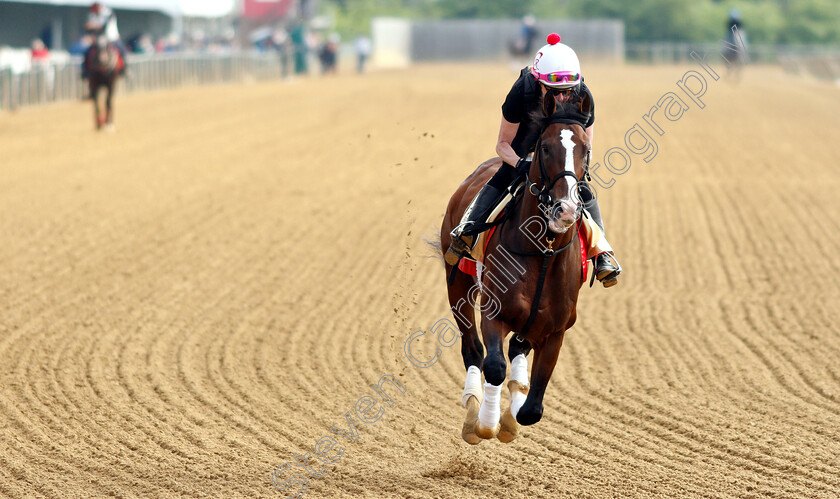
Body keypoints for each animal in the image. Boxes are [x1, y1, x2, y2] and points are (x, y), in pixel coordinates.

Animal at [440, 90, 592, 446]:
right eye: (545, 147)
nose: (566, 209)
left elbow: (532, 409)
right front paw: (485, 424)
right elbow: (493, 365)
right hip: (458, 288)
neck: (543, 250)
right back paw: (473, 408)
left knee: (517, 348)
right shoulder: (494, 312)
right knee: (472, 349)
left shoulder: (556, 330)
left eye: (585, 148)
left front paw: (512, 415)